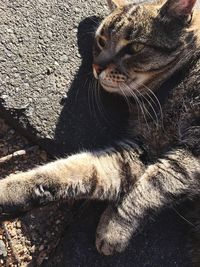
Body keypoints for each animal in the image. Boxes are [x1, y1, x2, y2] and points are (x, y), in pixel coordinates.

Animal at [0, 0, 200, 262]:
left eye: (134, 47)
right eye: (102, 41)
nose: (97, 66)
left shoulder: (192, 151)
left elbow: (156, 183)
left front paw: (113, 227)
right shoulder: (138, 150)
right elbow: (77, 170)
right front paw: (10, 190)